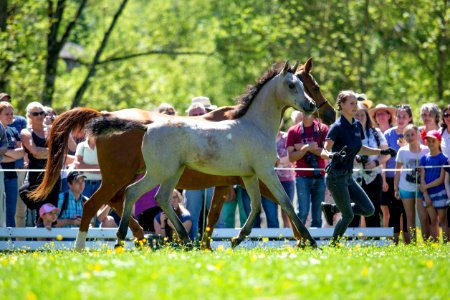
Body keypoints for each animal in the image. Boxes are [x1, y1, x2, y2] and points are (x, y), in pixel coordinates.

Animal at [29, 57, 334, 250]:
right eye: (295, 85)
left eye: (306, 85)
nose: (313, 108)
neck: (253, 125)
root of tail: (147, 126)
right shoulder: (265, 172)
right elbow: (286, 202)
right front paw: (310, 241)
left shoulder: (248, 176)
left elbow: (257, 208)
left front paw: (236, 239)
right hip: (152, 173)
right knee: (122, 197)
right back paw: (109, 241)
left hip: (170, 173)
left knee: (158, 198)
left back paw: (180, 240)